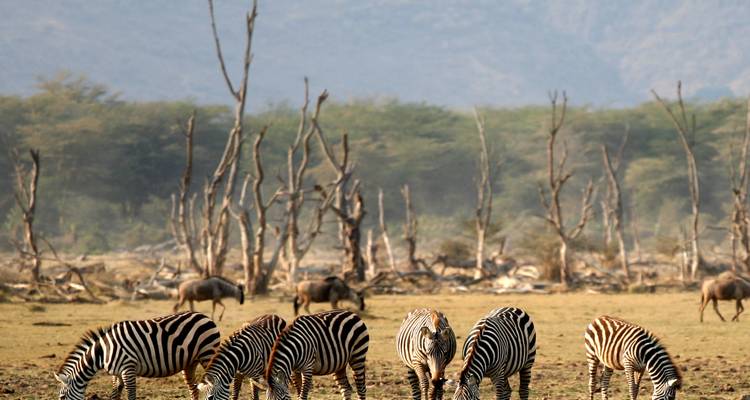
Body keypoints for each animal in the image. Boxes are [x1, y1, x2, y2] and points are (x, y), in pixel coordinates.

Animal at [55, 311, 220, 400]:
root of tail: (205, 316)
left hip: (207, 354)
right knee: (194, 388)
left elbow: (131, 395)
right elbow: (115, 395)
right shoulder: (116, 374)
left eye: (62, 397)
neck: (103, 351)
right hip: (190, 363)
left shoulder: (128, 369)